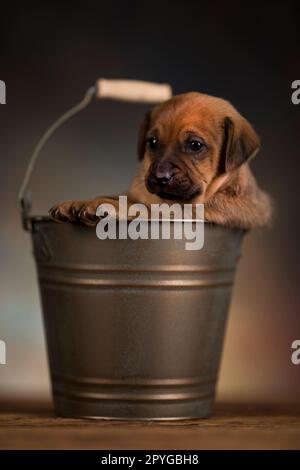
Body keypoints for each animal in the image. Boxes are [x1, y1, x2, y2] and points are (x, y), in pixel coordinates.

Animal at [49, 92, 272, 229]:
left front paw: (103, 206)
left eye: (195, 145)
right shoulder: (137, 193)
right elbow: (121, 197)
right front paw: (77, 202)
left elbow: (142, 208)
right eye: (153, 142)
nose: (160, 177)